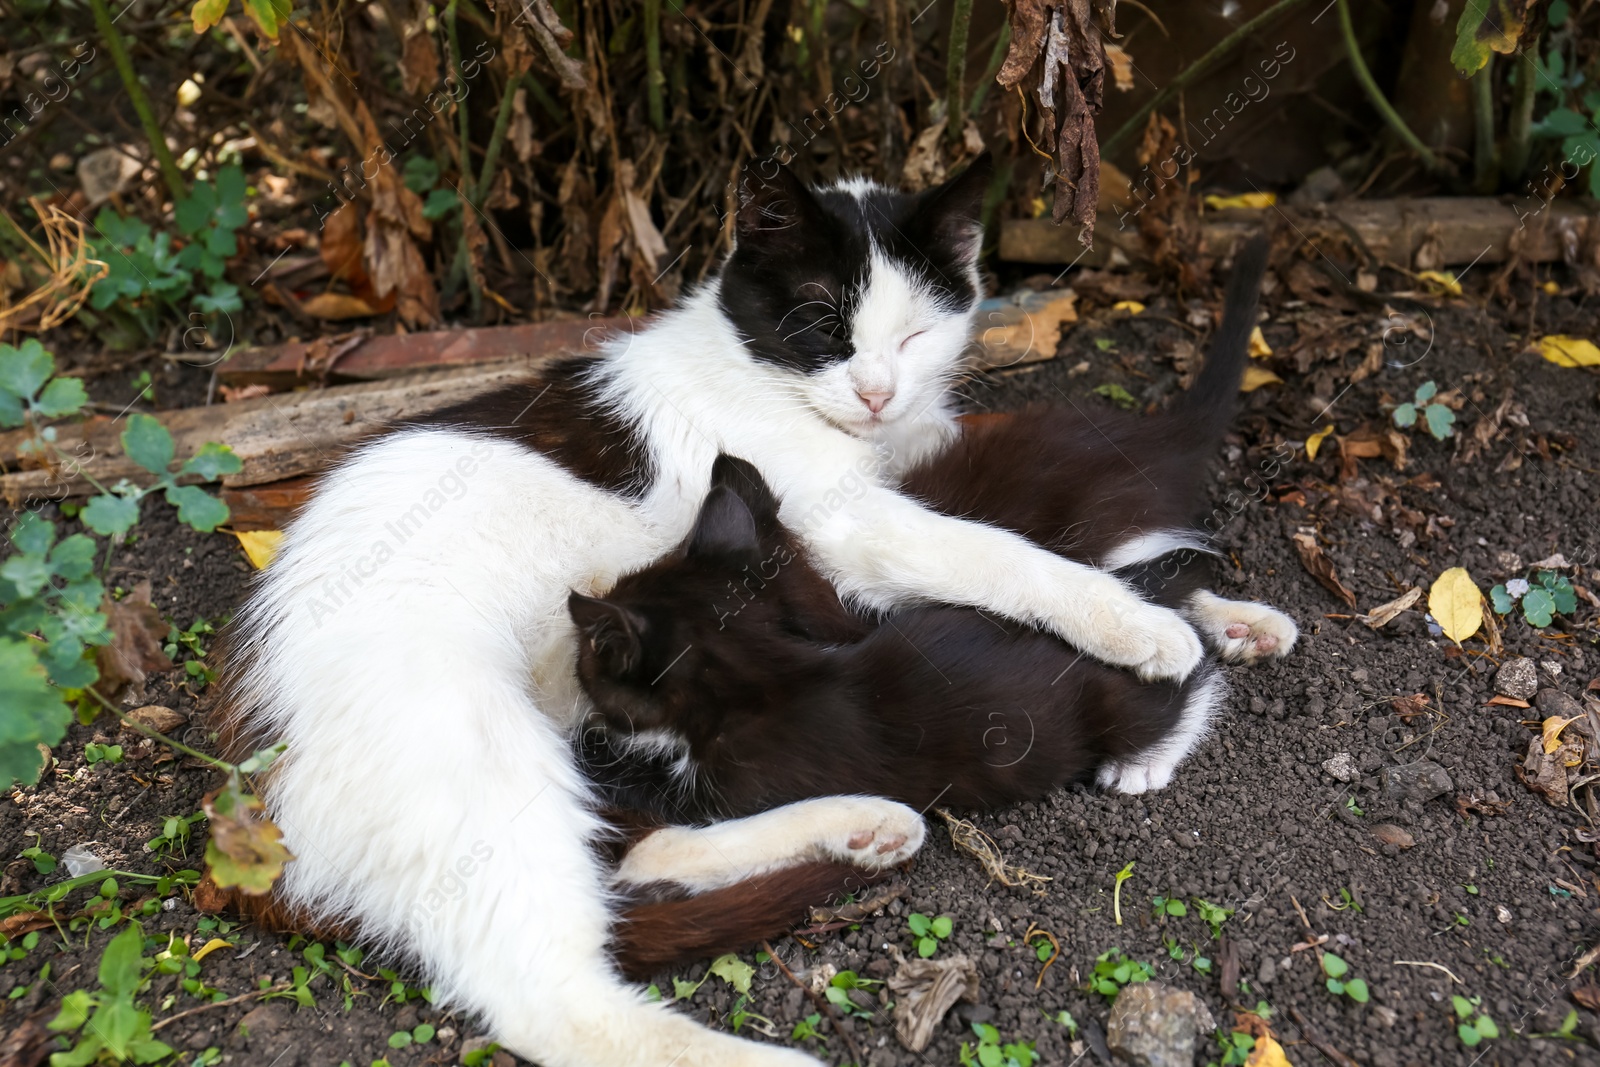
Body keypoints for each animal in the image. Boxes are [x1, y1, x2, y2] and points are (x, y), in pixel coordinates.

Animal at [216, 158, 1209, 1067]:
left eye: (917, 334)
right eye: (823, 326)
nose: (877, 393)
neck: (763, 372)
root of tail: (246, 790)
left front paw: (1223, 615)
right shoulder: (838, 534)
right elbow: (998, 551)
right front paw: (1143, 627)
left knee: (635, 856)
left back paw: (857, 824)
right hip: (473, 740)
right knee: (555, 999)